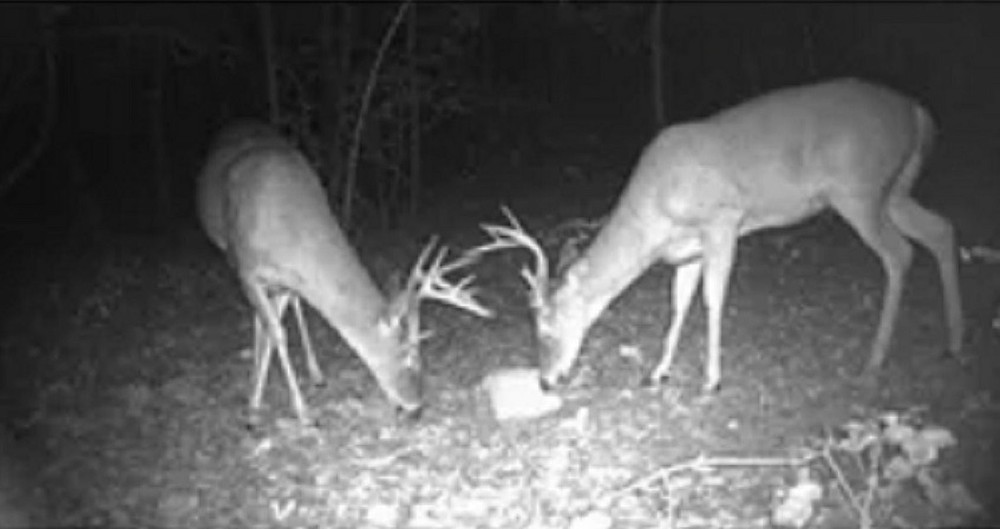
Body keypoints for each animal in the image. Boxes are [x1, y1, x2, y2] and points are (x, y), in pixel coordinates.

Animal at [197, 120, 492, 424]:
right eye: (409, 355)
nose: (416, 406)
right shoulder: (246, 269)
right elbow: (275, 332)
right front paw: (287, 410)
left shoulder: (286, 280)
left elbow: (274, 327)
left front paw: (259, 400)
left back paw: (315, 374)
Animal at [470, 78, 964, 394]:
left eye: (546, 325)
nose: (545, 380)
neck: (656, 207)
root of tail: (917, 112)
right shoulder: (687, 251)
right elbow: (678, 304)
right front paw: (658, 372)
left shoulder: (724, 220)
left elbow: (712, 299)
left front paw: (711, 379)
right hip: (894, 189)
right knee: (940, 229)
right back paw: (954, 343)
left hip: (858, 190)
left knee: (899, 253)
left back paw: (874, 360)